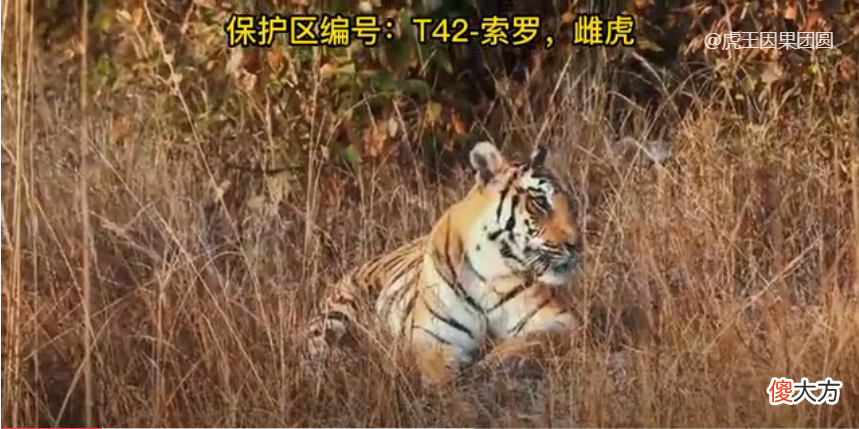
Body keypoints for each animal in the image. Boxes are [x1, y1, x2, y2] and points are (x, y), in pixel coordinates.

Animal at [301, 141, 584, 386]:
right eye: (540, 203)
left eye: (569, 204)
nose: (577, 245)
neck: (491, 269)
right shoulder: (433, 339)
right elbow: (441, 378)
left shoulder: (560, 321)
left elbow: (529, 343)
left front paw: (488, 367)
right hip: (335, 316)